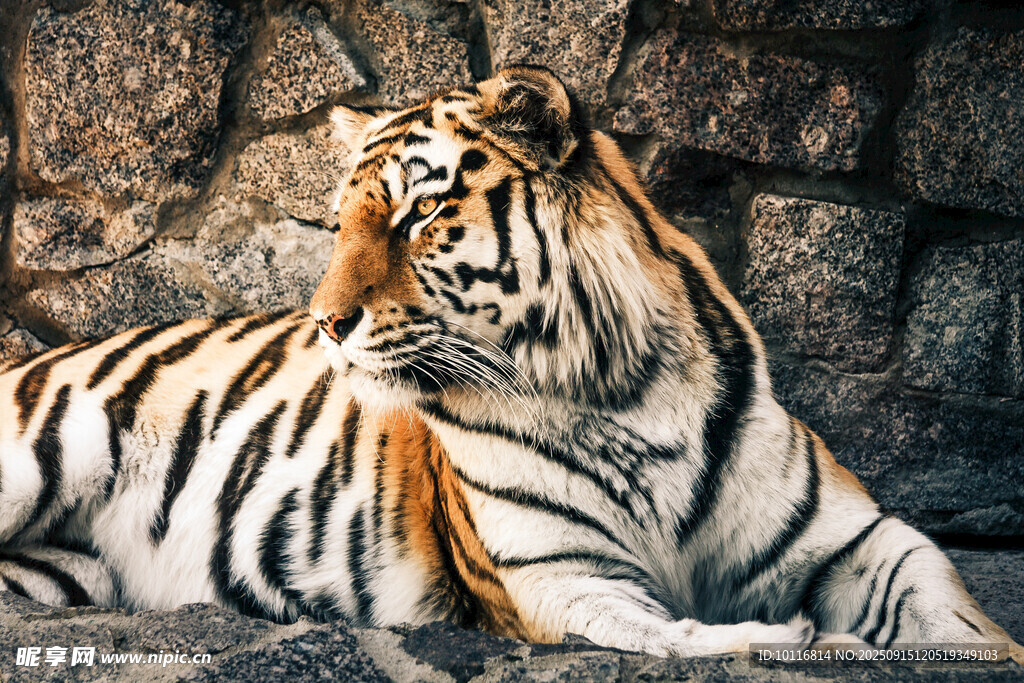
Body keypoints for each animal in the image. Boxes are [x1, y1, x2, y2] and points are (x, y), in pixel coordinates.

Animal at [0, 65, 1021, 663]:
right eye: (338, 223)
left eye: (418, 213)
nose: (325, 322)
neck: (621, 391)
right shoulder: (557, 576)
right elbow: (683, 638)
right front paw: (792, 635)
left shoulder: (858, 537)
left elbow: (957, 608)